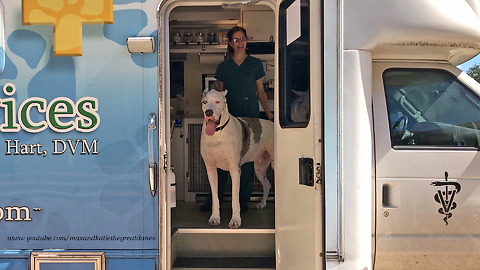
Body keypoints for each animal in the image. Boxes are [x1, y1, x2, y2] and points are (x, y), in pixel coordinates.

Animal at [200, 89, 274, 229]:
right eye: (205, 102)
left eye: (217, 101)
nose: (209, 112)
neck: (218, 133)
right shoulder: (210, 169)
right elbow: (215, 197)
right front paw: (215, 218)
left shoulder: (235, 170)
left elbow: (235, 198)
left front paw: (235, 220)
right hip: (259, 169)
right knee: (267, 185)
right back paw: (262, 204)